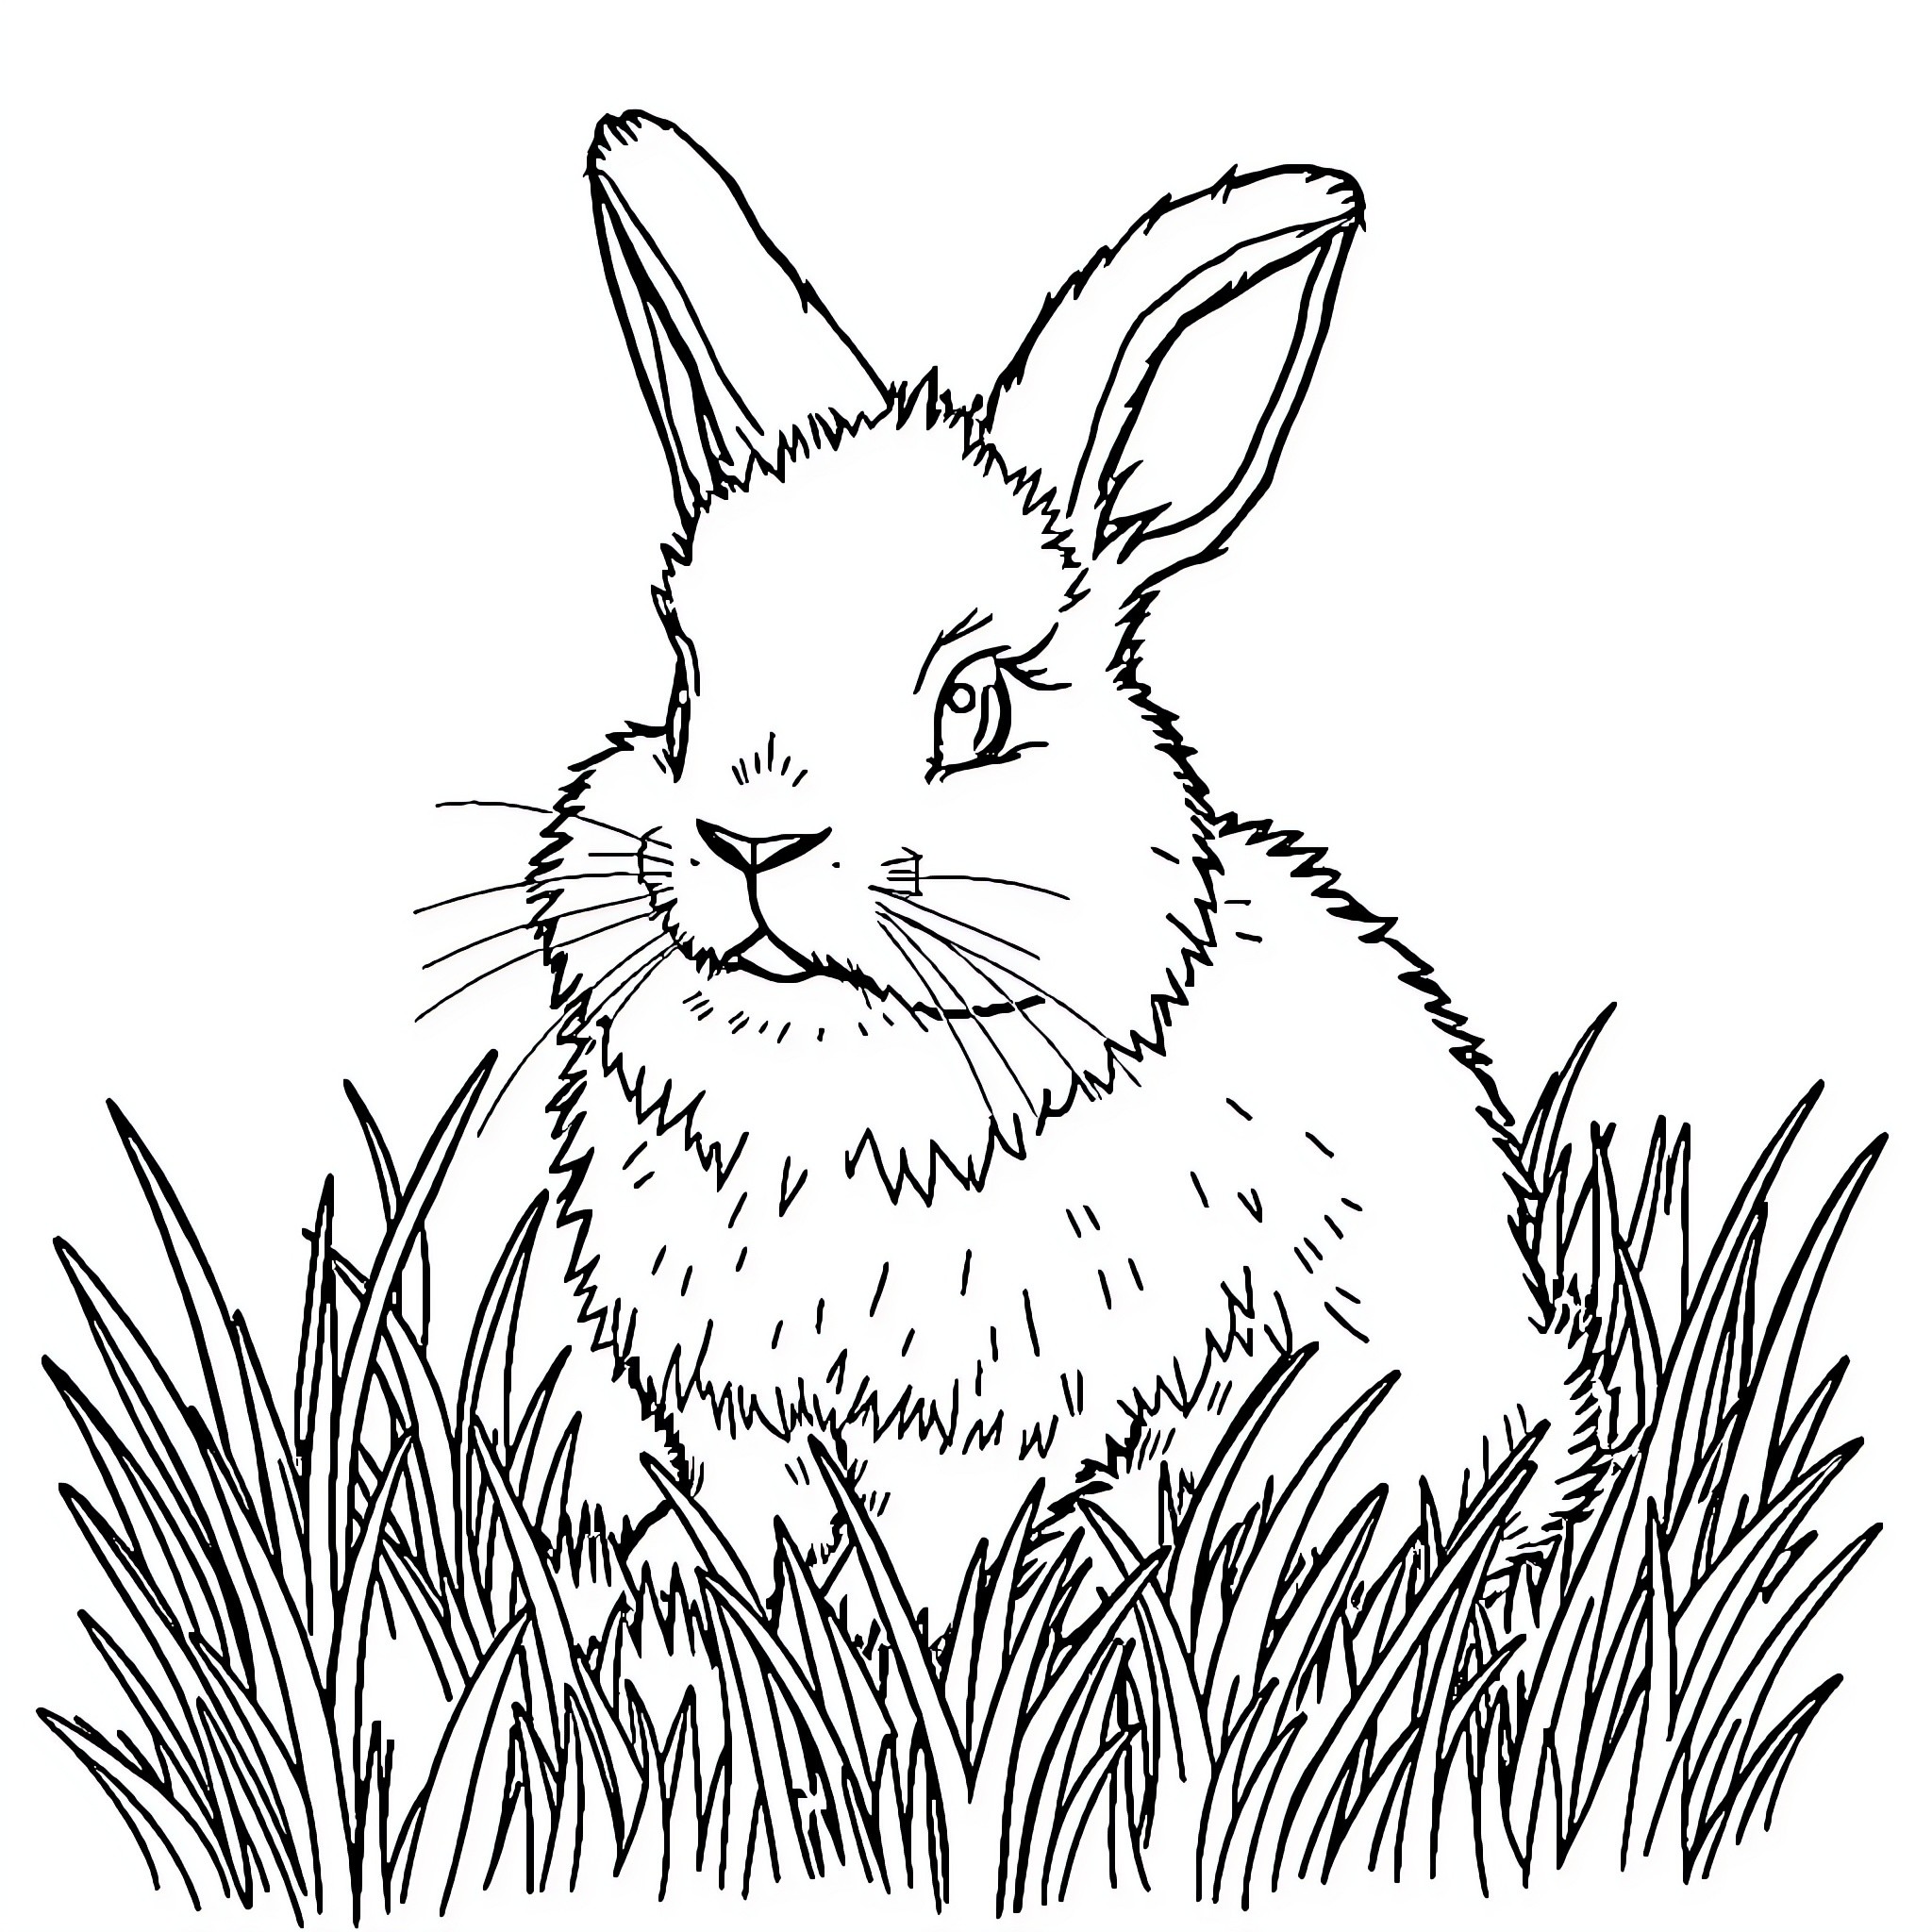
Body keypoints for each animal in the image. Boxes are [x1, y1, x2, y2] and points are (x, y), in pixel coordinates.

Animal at [526, 109, 1605, 1616]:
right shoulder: (744, 1418)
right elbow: (770, 1551)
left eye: (972, 706)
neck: (840, 1084)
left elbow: (939, 1583)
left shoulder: (993, 1425)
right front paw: (749, 1628)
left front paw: (917, 1661)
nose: (752, 839)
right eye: (685, 694)